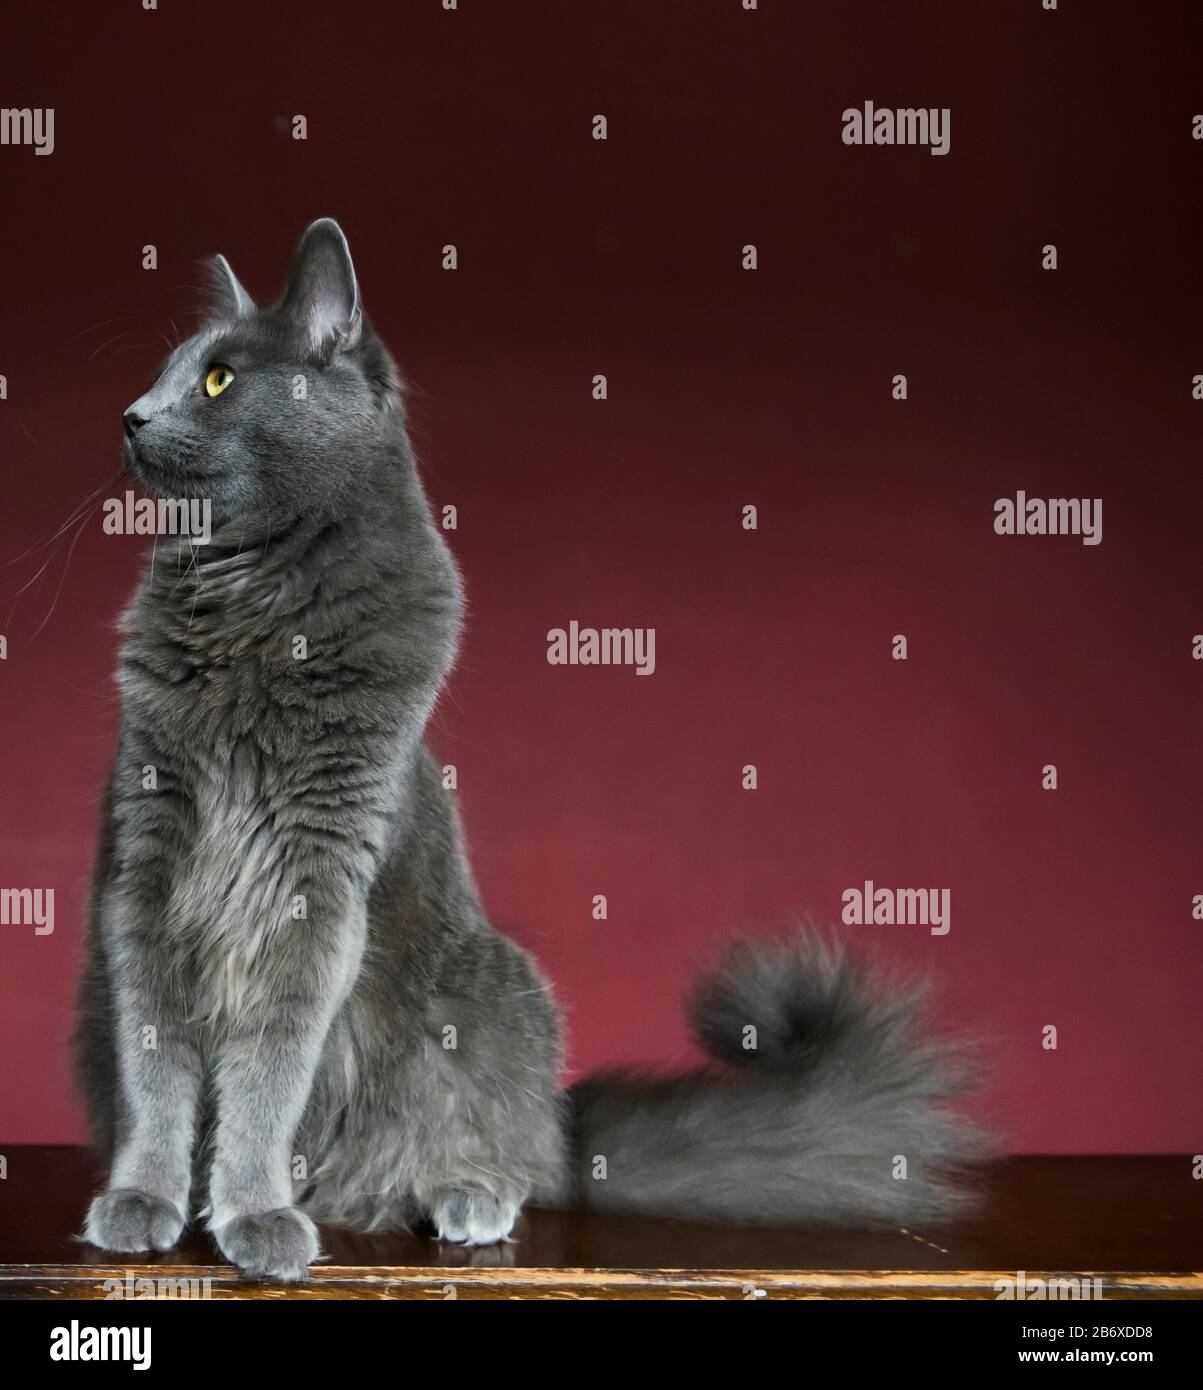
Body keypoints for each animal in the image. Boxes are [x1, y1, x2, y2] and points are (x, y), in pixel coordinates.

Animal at [77, 219, 984, 1278]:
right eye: (166, 373)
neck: (250, 612)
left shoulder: (315, 880)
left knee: (500, 1146)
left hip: (493, 996)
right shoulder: (144, 868)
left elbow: (269, 1069)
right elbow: (154, 1064)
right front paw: (143, 1200)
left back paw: (458, 1199)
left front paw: (254, 1214)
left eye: (219, 380)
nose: (132, 416)